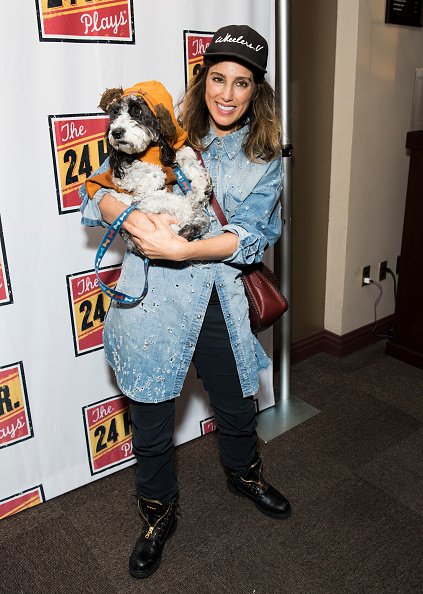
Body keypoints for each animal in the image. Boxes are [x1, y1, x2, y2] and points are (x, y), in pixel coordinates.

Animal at [88, 80, 212, 249]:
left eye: (137, 111)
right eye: (115, 113)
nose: (116, 132)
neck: (151, 149)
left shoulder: (176, 152)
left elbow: (189, 159)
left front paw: (202, 189)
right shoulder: (121, 175)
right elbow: (151, 171)